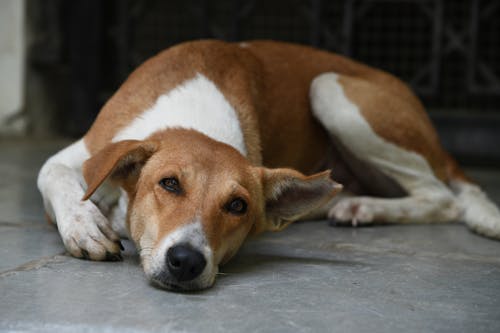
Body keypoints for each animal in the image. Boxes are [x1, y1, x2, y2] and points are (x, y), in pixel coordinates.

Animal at [38, 40, 500, 290]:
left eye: (237, 206)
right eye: (169, 184)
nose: (186, 261)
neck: (194, 117)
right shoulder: (86, 151)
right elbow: (52, 174)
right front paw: (85, 225)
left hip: (330, 88)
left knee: (443, 198)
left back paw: (364, 207)